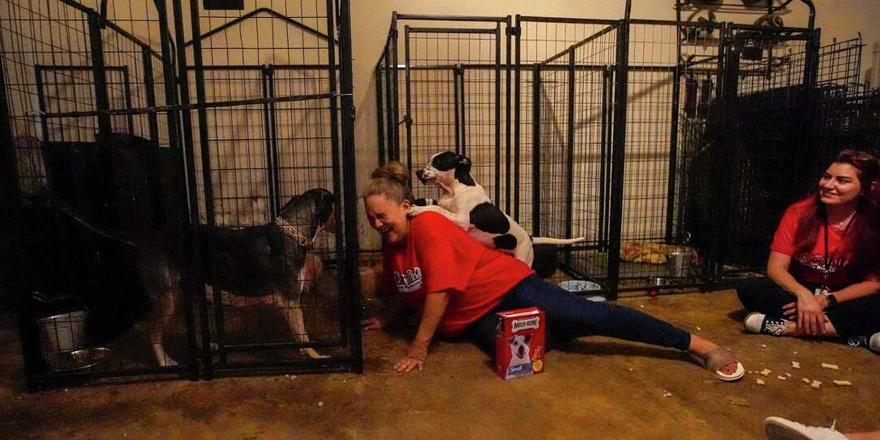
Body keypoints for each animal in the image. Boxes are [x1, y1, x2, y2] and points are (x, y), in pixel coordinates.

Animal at [410, 151, 584, 268]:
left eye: (437, 163)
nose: (417, 172)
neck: (454, 189)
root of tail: (529, 238)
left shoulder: (462, 220)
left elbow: (437, 209)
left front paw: (415, 210)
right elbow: (436, 205)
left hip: (524, 258)